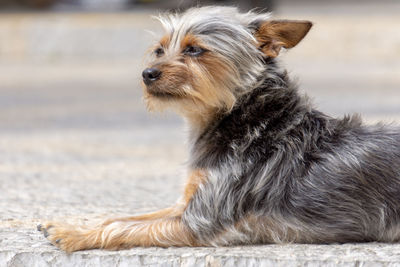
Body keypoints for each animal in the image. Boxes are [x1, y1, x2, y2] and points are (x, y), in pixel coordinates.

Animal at [37, 6, 400, 252]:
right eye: (160, 48)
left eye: (194, 49)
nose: (147, 73)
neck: (249, 120)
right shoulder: (187, 202)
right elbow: (123, 218)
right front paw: (76, 223)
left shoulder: (199, 221)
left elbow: (122, 230)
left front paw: (74, 235)